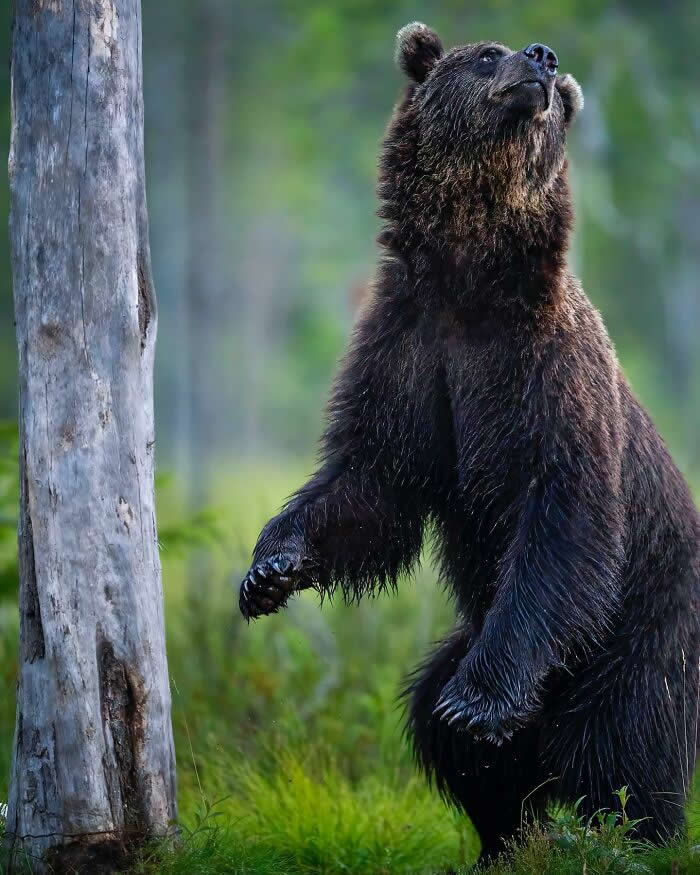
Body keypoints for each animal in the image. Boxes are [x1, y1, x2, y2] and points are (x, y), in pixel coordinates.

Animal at [239, 22, 700, 863]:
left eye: (561, 102)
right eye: (486, 54)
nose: (544, 61)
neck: (469, 280)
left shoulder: (547, 372)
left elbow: (563, 514)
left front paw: (479, 706)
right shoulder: (411, 350)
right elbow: (369, 478)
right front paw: (272, 567)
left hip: (635, 635)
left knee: (623, 751)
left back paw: (636, 836)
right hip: (477, 633)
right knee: (444, 726)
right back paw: (500, 837)